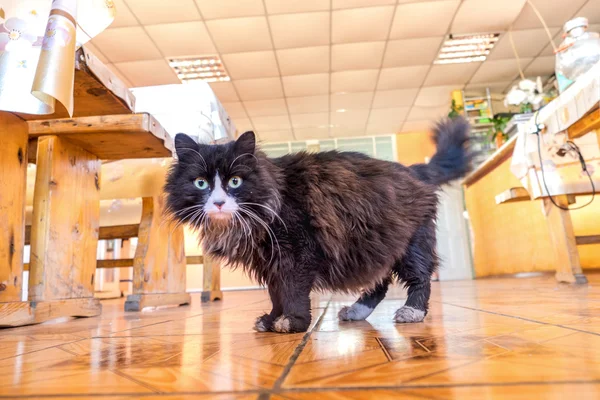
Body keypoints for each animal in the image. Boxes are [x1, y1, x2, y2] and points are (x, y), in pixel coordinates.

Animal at [164, 117, 474, 332]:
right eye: (200, 183)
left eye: (235, 181)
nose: (218, 202)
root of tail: (412, 170)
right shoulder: (271, 262)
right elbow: (276, 295)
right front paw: (272, 320)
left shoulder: (298, 253)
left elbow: (293, 293)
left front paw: (293, 322)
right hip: (372, 246)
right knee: (380, 285)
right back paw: (356, 311)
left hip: (410, 244)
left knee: (420, 278)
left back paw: (412, 311)